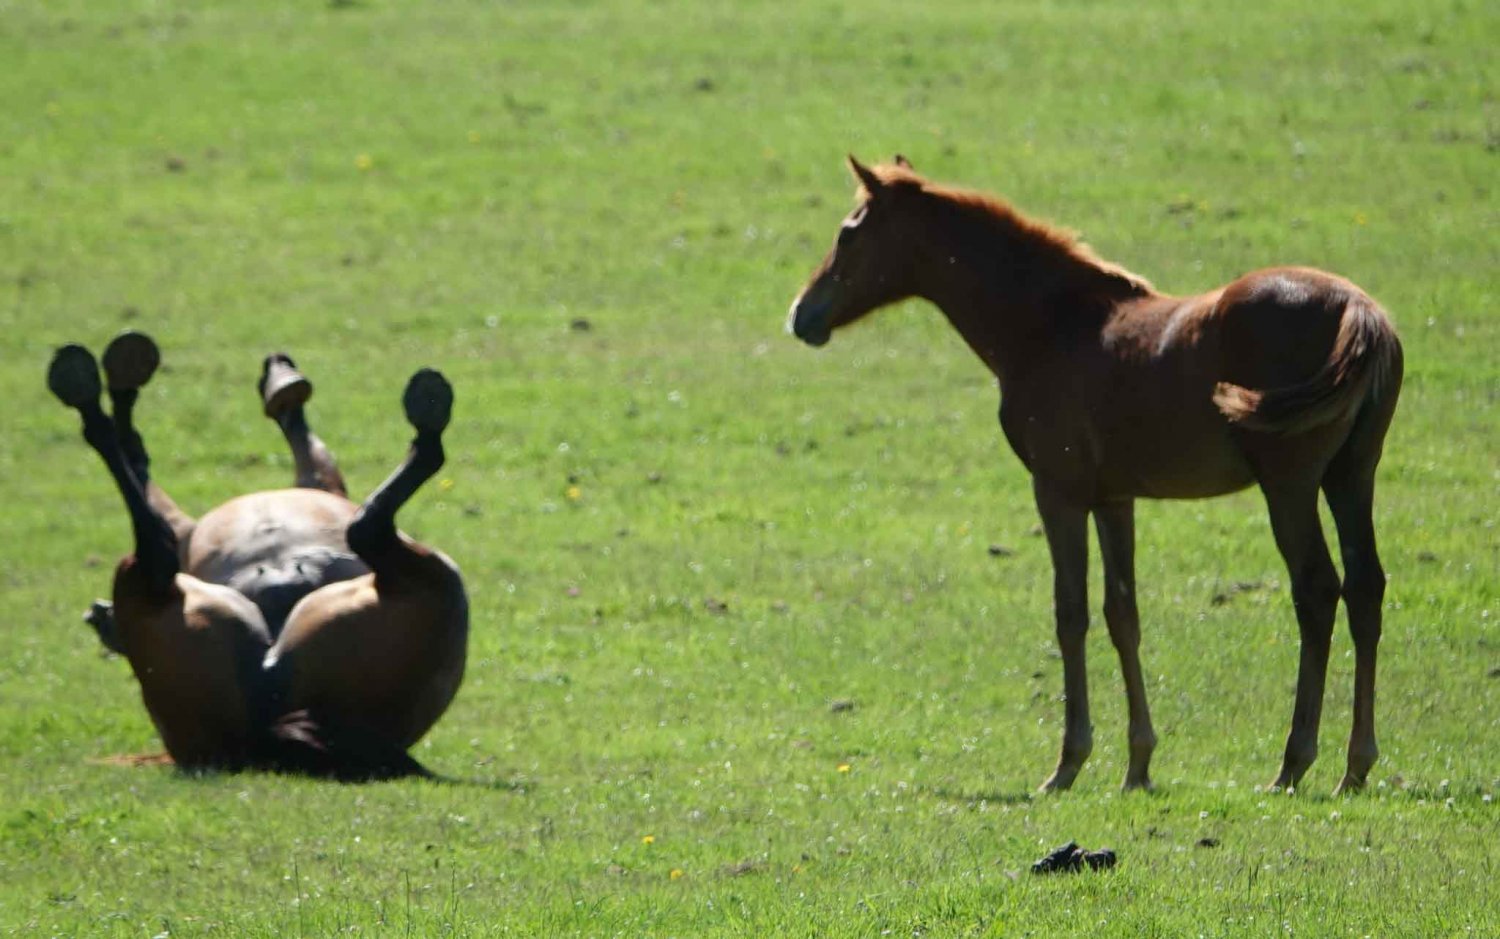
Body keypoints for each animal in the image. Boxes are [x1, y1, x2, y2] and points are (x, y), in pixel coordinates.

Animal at [788, 156, 1402, 794]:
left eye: (847, 234)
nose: (802, 315)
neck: (1048, 324)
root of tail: (1360, 313)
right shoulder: (1114, 499)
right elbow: (1122, 614)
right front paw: (1138, 765)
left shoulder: (1057, 491)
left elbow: (1071, 613)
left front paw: (1068, 763)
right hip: (1352, 475)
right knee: (1365, 587)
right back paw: (1356, 765)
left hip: (1291, 484)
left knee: (1317, 590)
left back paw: (1293, 763)